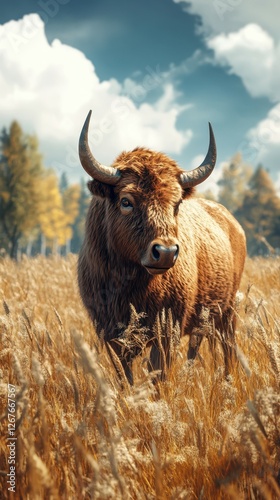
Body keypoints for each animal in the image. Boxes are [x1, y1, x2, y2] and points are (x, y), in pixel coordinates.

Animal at [77, 110, 246, 382]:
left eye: (176, 203)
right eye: (126, 201)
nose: (165, 252)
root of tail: (232, 223)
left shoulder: (166, 331)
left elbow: (158, 373)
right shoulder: (110, 335)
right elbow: (125, 376)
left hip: (228, 311)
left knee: (228, 347)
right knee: (196, 346)